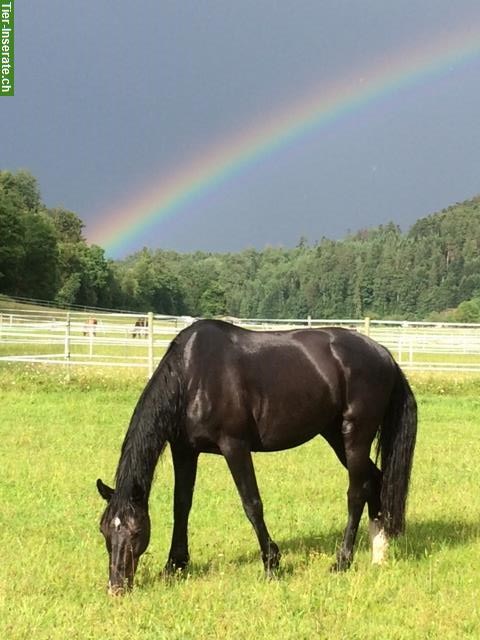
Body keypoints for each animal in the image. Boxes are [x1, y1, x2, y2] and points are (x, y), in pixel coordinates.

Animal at [97, 320, 416, 596]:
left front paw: (271, 563)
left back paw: (342, 561)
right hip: (335, 435)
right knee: (375, 481)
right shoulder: (185, 450)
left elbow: (252, 504)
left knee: (357, 492)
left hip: (355, 436)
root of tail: (384, 355)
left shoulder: (234, 446)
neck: (192, 376)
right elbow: (182, 505)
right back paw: (379, 553)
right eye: (104, 531)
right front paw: (175, 565)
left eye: (136, 531)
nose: (116, 587)